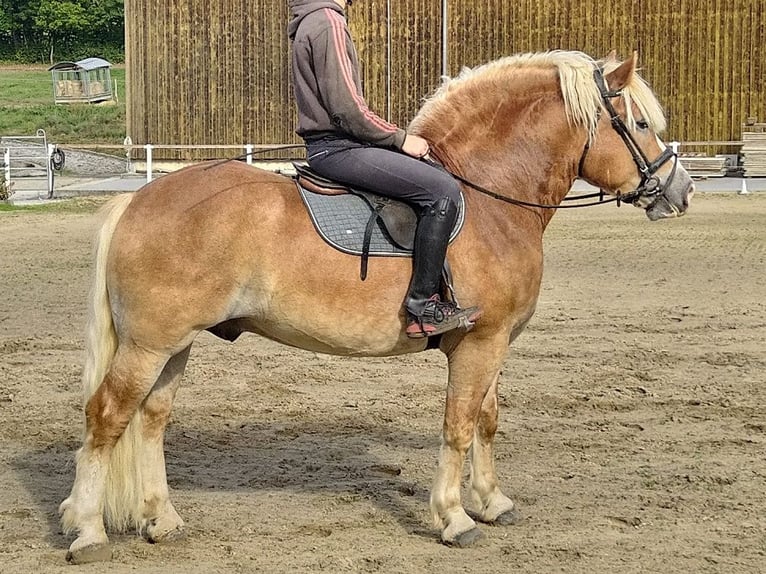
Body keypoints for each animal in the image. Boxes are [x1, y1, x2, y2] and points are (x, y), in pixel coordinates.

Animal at [59, 50, 693, 563]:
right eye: (639, 124)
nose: (680, 190)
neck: (488, 196)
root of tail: (139, 199)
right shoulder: (479, 343)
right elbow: (458, 426)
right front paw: (455, 517)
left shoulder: (494, 342)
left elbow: (486, 421)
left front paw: (492, 502)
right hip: (149, 344)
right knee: (106, 418)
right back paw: (88, 532)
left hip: (175, 344)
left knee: (150, 420)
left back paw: (162, 520)